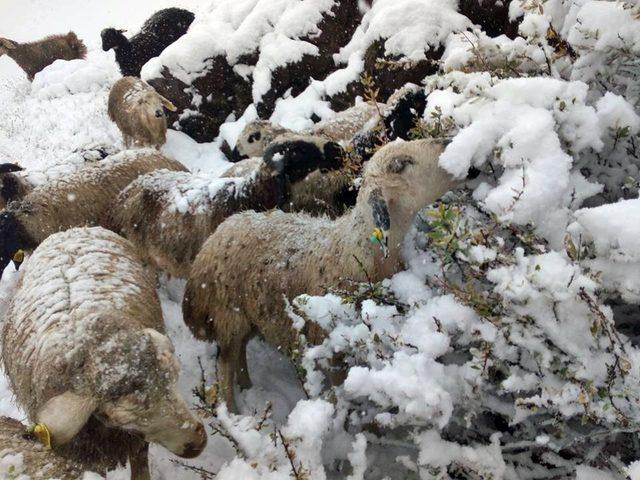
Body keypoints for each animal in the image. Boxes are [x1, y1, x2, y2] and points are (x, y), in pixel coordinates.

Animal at [182, 138, 468, 408]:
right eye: (402, 164)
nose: (450, 142)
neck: (355, 248)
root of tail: (215, 237)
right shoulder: (331, 345)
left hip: (249, 316)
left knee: (239, 353)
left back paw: (248, 389)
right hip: (228, 314)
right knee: (225, 364)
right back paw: (234, 411)